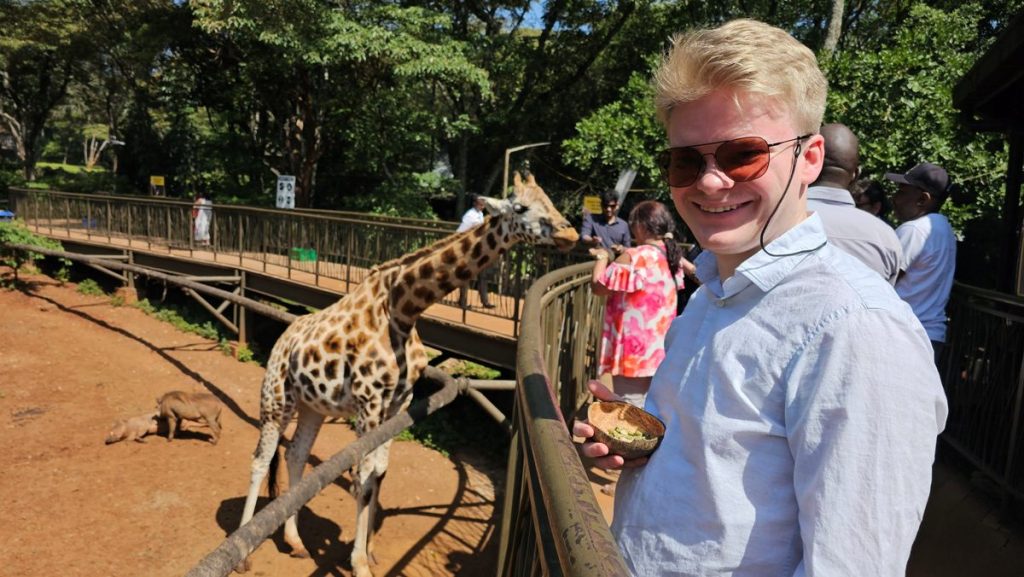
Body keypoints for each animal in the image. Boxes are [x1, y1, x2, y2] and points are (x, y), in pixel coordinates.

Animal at [235, 170, 578, 576]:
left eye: (550, 200)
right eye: (522, 207)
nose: (571, 233)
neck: (403, 308)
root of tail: (282, 341)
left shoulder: (399, 401)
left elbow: (380, 472)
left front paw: (369, 551)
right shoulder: (368, 401)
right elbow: (362, 478)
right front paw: (359, 563)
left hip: (312, 406)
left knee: (295, 455)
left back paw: (295, 541)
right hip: (276, 397)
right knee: (260, 459)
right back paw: (243, 552)